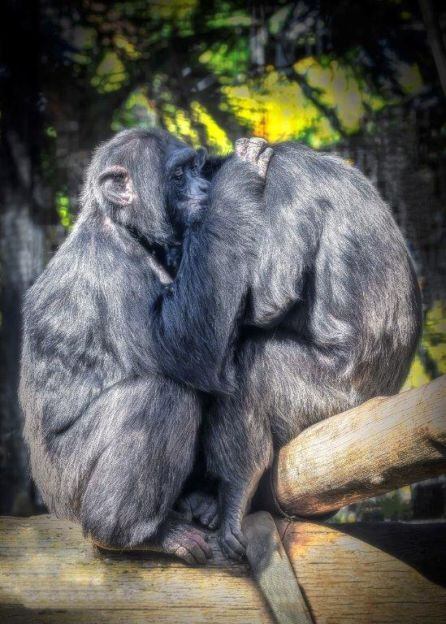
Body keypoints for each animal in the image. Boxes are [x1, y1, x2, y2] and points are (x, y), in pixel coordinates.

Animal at [20, 128, 272, 564]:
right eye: (179, 175)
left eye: (195, 167)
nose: (205, 187)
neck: (126, 230)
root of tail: (53, 504)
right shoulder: (115, 277)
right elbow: (188, 345)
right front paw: (237, 180)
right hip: (69, 489)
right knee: (160, 396)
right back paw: (139, 534)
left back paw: (201, 502)